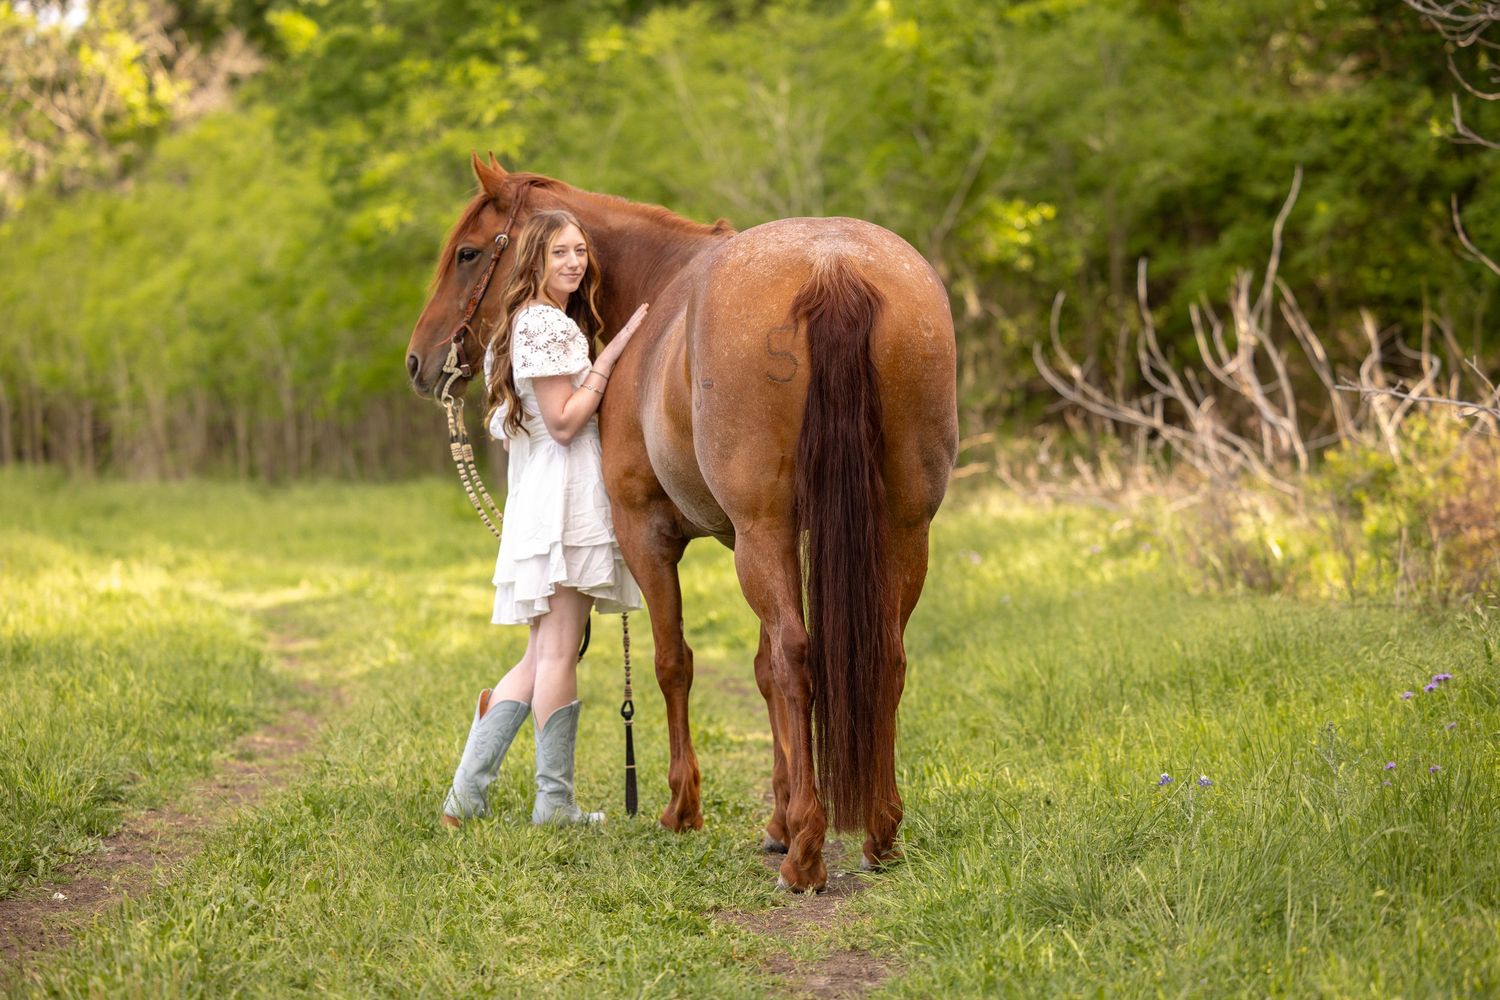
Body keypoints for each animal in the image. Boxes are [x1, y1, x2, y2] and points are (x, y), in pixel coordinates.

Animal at [405, 156, 957, 892]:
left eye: (468, 253)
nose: (419, 361)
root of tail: (832, 267)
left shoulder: (653, 536)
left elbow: (675, 663)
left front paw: (682, 808)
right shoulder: (761, 538)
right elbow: (760, 670)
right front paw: (777, 820)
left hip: (766, 534)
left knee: (797, 657)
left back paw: (808, 854)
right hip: (899, 528)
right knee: (881, 657)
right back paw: (877, 833)